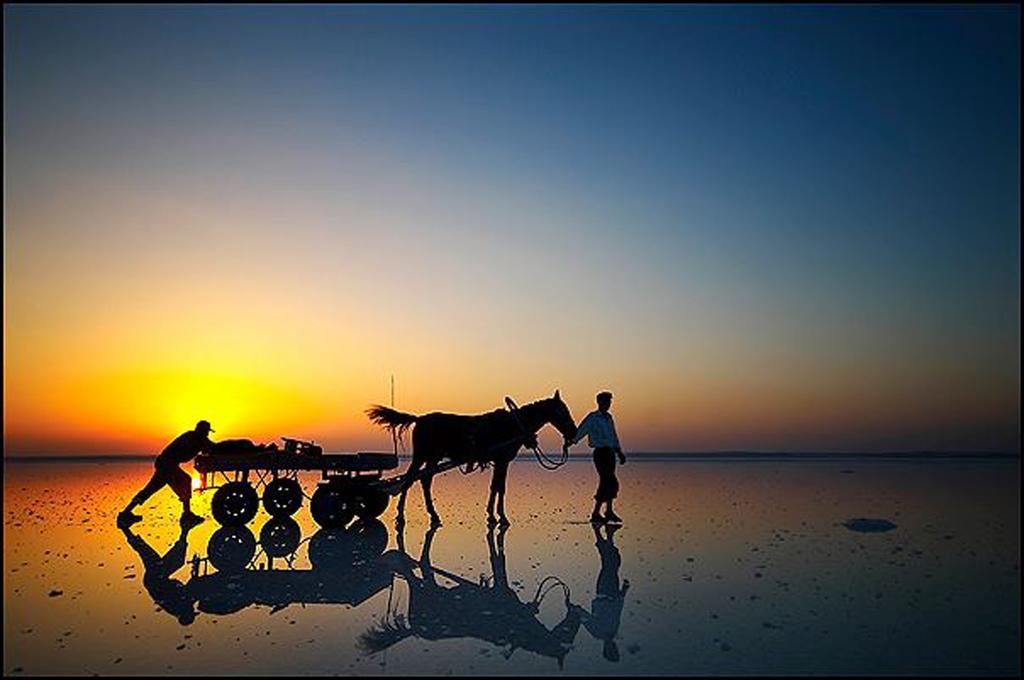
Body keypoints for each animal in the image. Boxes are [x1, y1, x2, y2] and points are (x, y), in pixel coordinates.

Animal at [366, 387, 577, 524]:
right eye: (563, 412)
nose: (574, 433)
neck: (514, 424)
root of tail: (420, 418)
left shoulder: (501, 462)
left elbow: (496, 487)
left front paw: (492, 515)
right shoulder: (502, 461)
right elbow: (500, 488)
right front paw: (501, 517)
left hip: (433, 457)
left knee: (424, 481)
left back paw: (433, 515)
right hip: (422, 456)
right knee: (409, 480)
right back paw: (401, 516)